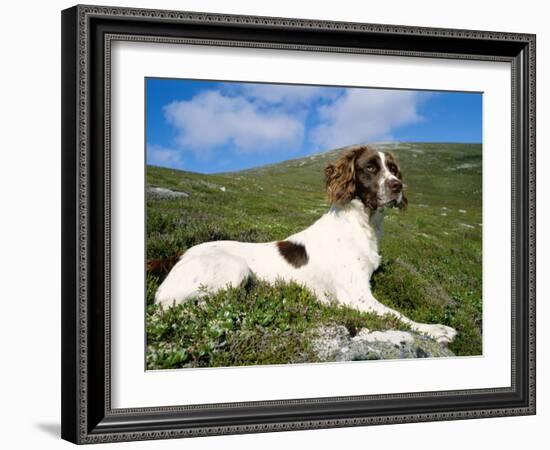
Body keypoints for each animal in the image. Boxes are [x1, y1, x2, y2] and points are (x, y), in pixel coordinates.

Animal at [154, 146, 458, 342]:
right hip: (233, 268)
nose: (397, 187)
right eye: (370, 167)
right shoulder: (356, 296)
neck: (362, 224)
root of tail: (178, 255)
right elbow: (398, 315)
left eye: (393, 169)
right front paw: (437, 330)